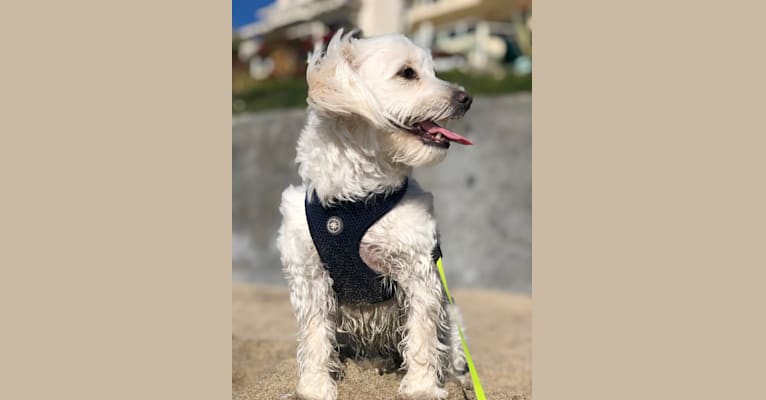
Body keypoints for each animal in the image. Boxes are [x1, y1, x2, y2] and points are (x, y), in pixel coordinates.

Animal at [278, 29, 474, 398]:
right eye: (408, 73)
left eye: (433, 70)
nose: (466, 97)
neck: (357, 199)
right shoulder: (310, 275)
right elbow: (314, 335)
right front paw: (314, 387)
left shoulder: (417, 268)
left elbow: (423, 335)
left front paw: (422, 388)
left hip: (453, 320)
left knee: (451, 352)